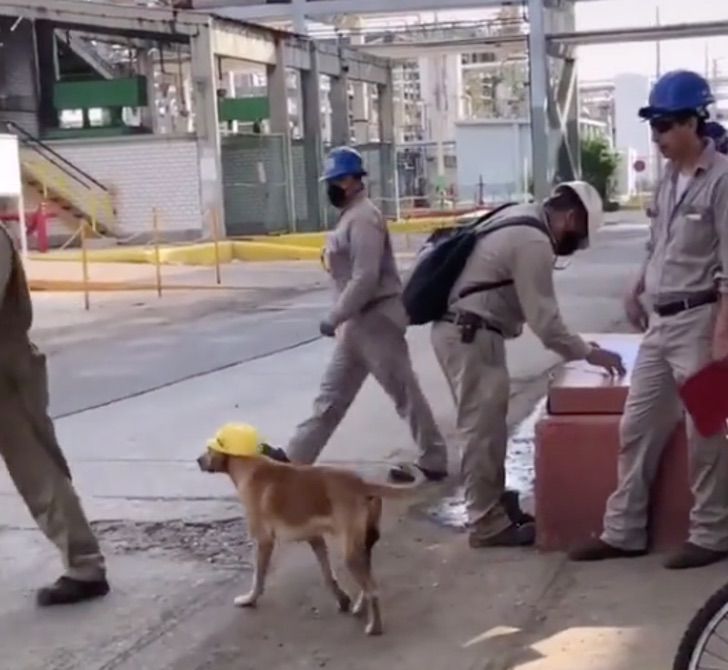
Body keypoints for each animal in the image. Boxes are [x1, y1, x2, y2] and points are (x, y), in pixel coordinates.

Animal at [196, 422, 424, 636]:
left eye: (210, 449)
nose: (198, 460)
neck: (248, 465)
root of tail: (362, 483)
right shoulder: (315, 538)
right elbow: (328, 575)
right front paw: (342, 599)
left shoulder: (263, 540)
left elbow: (258, 577)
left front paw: (250, 599)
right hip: (363, 546)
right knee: (367, 585)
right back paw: (361, 607)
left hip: (350, 552)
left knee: (372, 589)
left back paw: (374, 626)